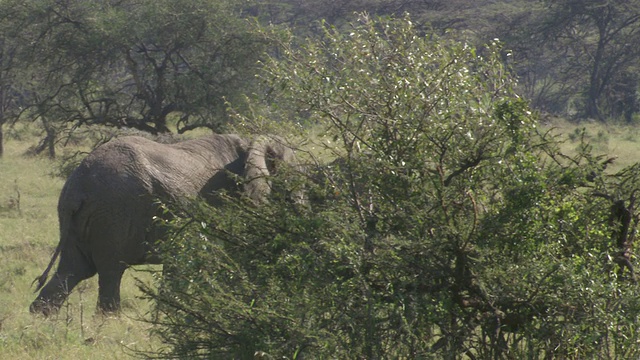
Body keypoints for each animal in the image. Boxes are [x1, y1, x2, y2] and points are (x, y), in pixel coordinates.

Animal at [30, 132, 300, 316]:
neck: (253, 141)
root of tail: (77, 188)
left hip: (81, 222)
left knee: (72, 271)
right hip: (113, 215)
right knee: (110, 272)